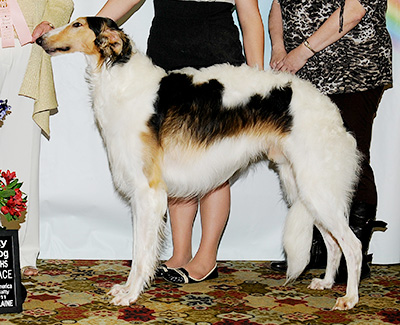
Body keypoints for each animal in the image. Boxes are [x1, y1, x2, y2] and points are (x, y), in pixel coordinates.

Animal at [36, 17, 362, 308]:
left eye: (77, 24)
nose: (40, 38)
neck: (121, 79)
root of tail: (331, 111)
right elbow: (139, 249)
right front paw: (126, 290)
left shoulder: (148, 192)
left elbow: (141, 253)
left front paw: (130, 295)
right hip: (303, 188)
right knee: (333, 242)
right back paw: (326, 282)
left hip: (316, 187)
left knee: (352, 244)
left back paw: (350, 298)